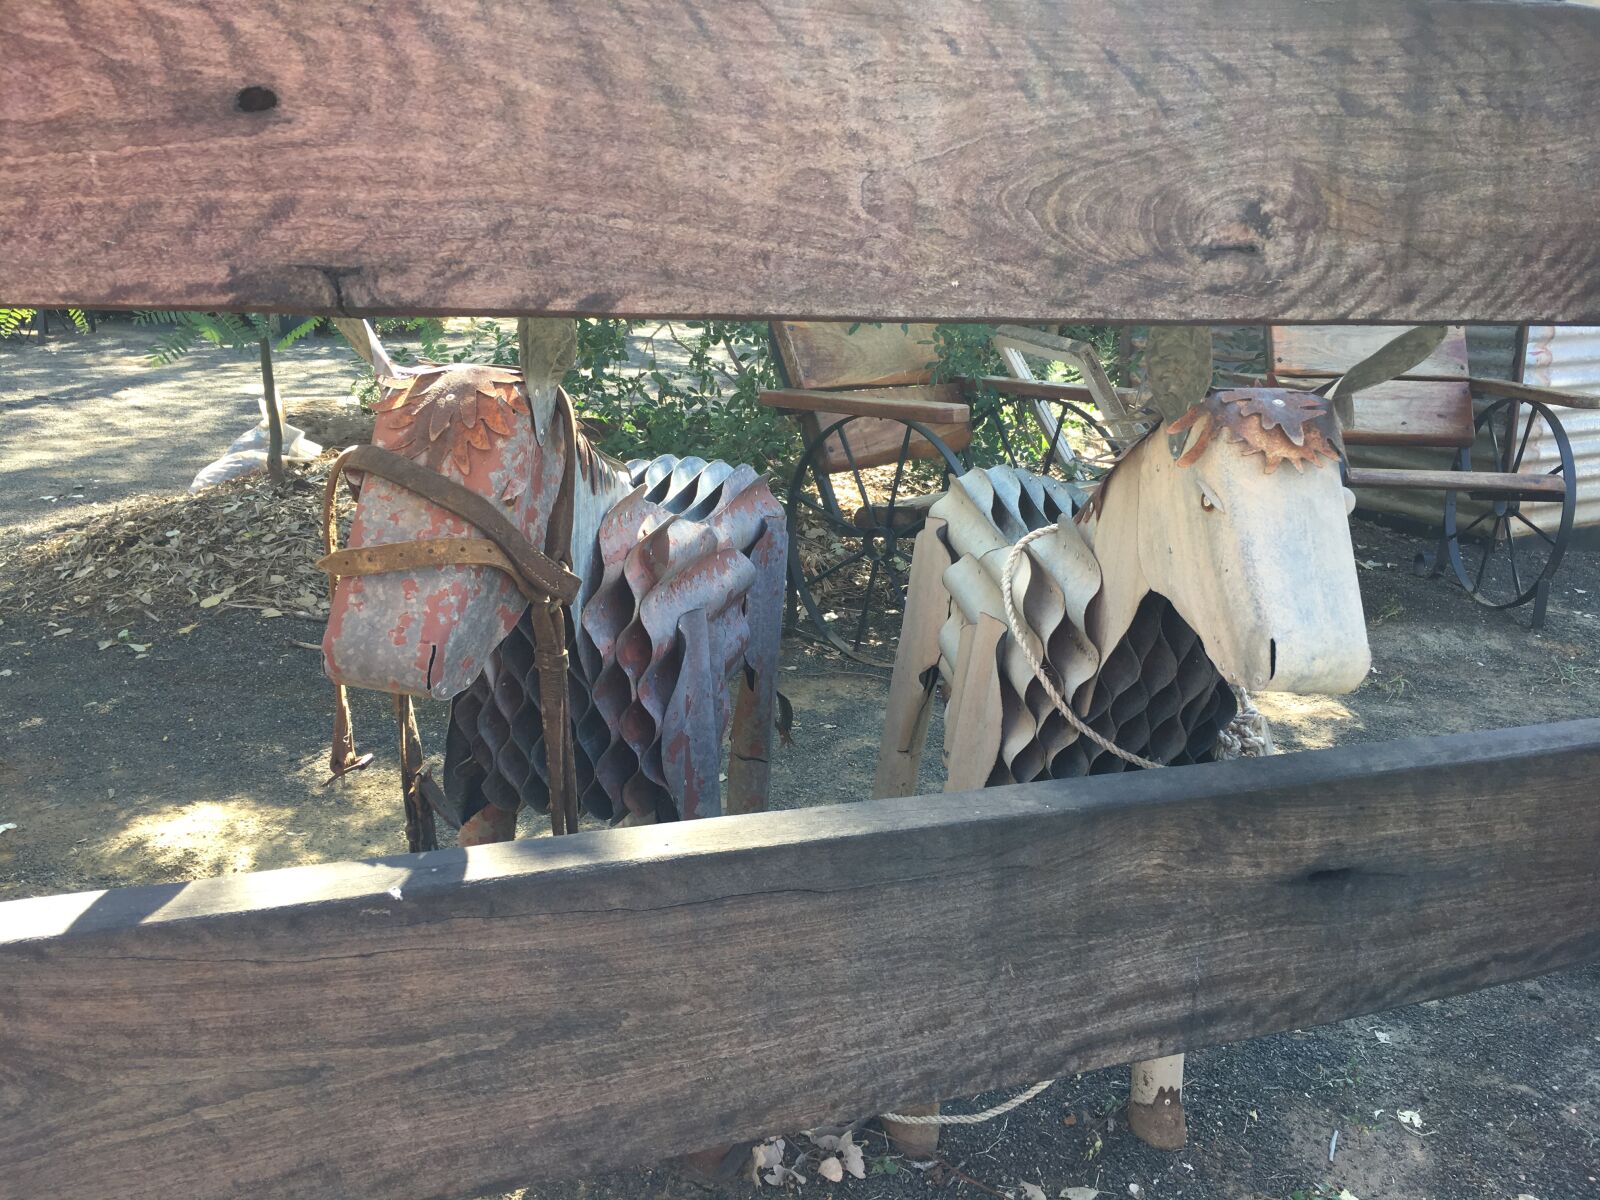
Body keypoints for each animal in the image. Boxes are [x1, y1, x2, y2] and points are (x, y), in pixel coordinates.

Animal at [318, 321, 786, 849]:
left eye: (511, 495)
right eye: (356, 485)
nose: (371, 658)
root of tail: (726, 467)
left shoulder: (665, 786)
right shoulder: (489, 784)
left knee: (752, 752)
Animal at [872, 384, 1370, 1151]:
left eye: (1344, 501)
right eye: (1207, 501)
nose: (1326, 661)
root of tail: (978, 470)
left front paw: (1157, 1113)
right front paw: (913, 1128)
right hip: (918, 650)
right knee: (897, 749)